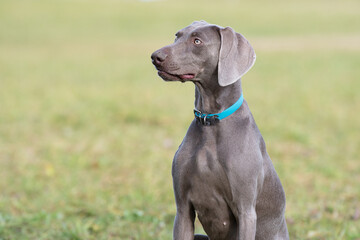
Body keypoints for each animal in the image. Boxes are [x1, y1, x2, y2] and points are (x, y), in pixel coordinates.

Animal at [150, 21, 288, 240]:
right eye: (177, 36)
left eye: (197, 41)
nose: (155, 56)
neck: (210, 122)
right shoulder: (182, 209)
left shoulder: (246, 211)